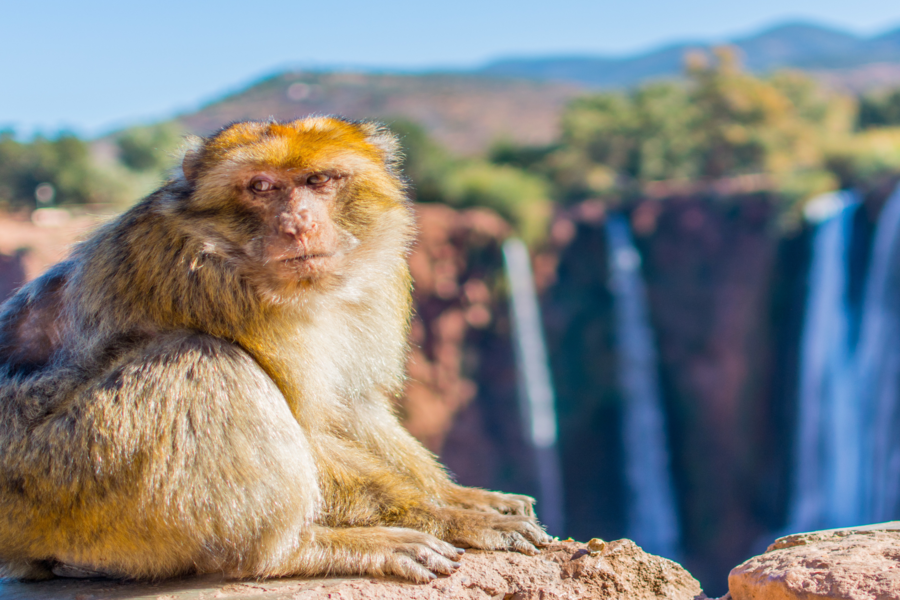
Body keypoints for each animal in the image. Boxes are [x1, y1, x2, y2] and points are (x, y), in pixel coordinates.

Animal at [0, 117, 551, 583]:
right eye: (261, 187)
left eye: (319, 180)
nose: (298, 225)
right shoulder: (201, 282)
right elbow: (306, 423)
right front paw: (446, 517)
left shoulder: (379, 278)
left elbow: (352, 407)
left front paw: (464, 498)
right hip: (57, 482)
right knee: (205, 360)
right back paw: (293, 551)